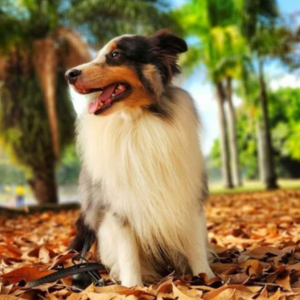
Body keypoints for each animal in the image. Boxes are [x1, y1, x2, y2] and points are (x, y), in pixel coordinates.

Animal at [65, 29, 214, 286]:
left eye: (115, 55)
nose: (68, 75)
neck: (137, 121)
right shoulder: (120, 206)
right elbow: (128, 254)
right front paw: (133, 287)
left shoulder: (188, 195)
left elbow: (195, 245)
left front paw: (208, 278)